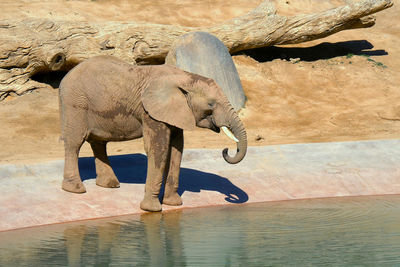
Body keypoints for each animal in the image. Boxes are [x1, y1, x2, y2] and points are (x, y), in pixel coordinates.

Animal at [59, 55, 247, 213]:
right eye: (211, 104)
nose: (226, 150)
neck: (184, 77)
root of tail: (66, 76)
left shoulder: (175, 113)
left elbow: (177, 150)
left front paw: (173, 204)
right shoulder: (150, 112)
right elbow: (158, 149)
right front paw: (152, 209)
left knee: (99, 142)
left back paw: (109, 185)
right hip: (75, 103)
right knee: (75, 142)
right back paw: (75, 189)